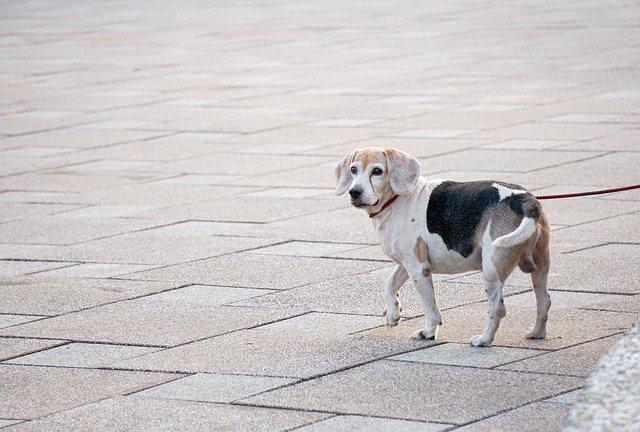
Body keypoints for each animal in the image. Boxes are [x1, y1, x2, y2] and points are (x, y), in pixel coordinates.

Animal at [336, 148, 552, 348]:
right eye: (353, 170)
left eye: (377, 171)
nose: (354, 192)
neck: (396, 201)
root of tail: (524, 200)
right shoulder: (407, 263)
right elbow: (389, 284)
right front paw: (393, 313)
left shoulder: (418, 269)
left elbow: (430, 307)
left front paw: (429, 332)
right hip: (540, 266)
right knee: (544, 300)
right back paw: (536, 333)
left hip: (491, 270)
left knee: (497, 309)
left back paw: (483, 340)